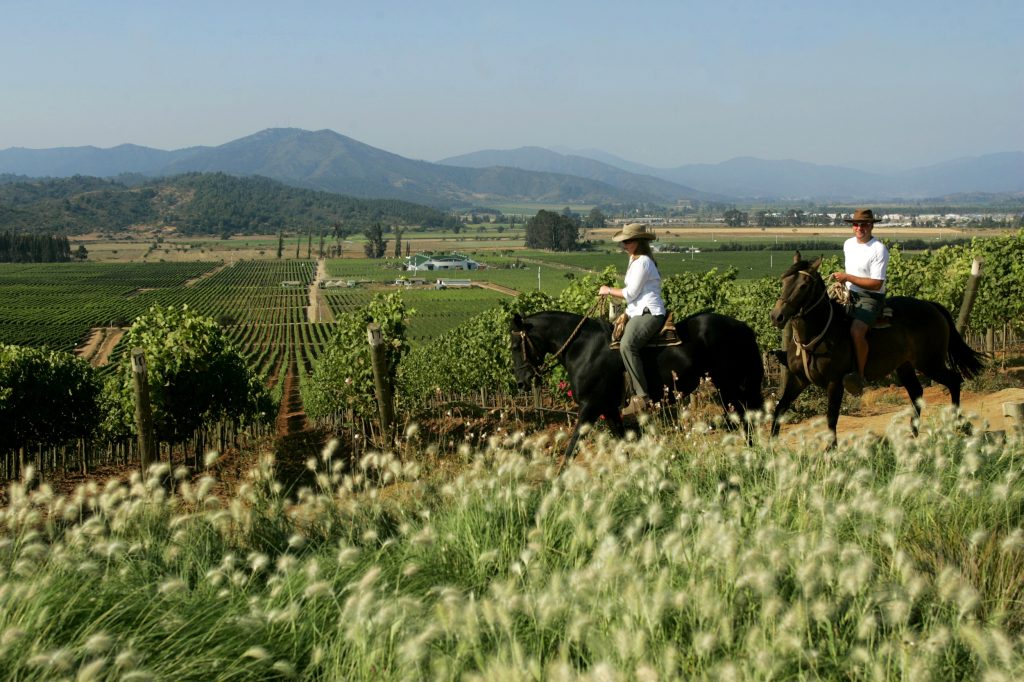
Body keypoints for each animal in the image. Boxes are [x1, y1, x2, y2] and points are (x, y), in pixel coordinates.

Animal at [507, 309, 765, 456]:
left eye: (514, 346)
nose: (521, 382)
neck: (583, 348)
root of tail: (741, 326)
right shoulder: (609, 409)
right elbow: (623, 445)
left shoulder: (590, 408)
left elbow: (571, 448)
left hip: (729, 386)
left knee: (745, 419)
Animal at [770, 251, 983, 444]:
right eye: (783, 281)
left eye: (804, 285)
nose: (777, 316)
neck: (817, 334)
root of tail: (931, 306)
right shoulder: (798, 379)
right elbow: (780, 408)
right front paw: (770, 447)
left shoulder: (835, 382)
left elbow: (831, 417)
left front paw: (830, 450)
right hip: (905, 366)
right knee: (917, 392)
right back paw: (913, 433)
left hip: (930, 362)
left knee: (954, 380)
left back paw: (957, 424)